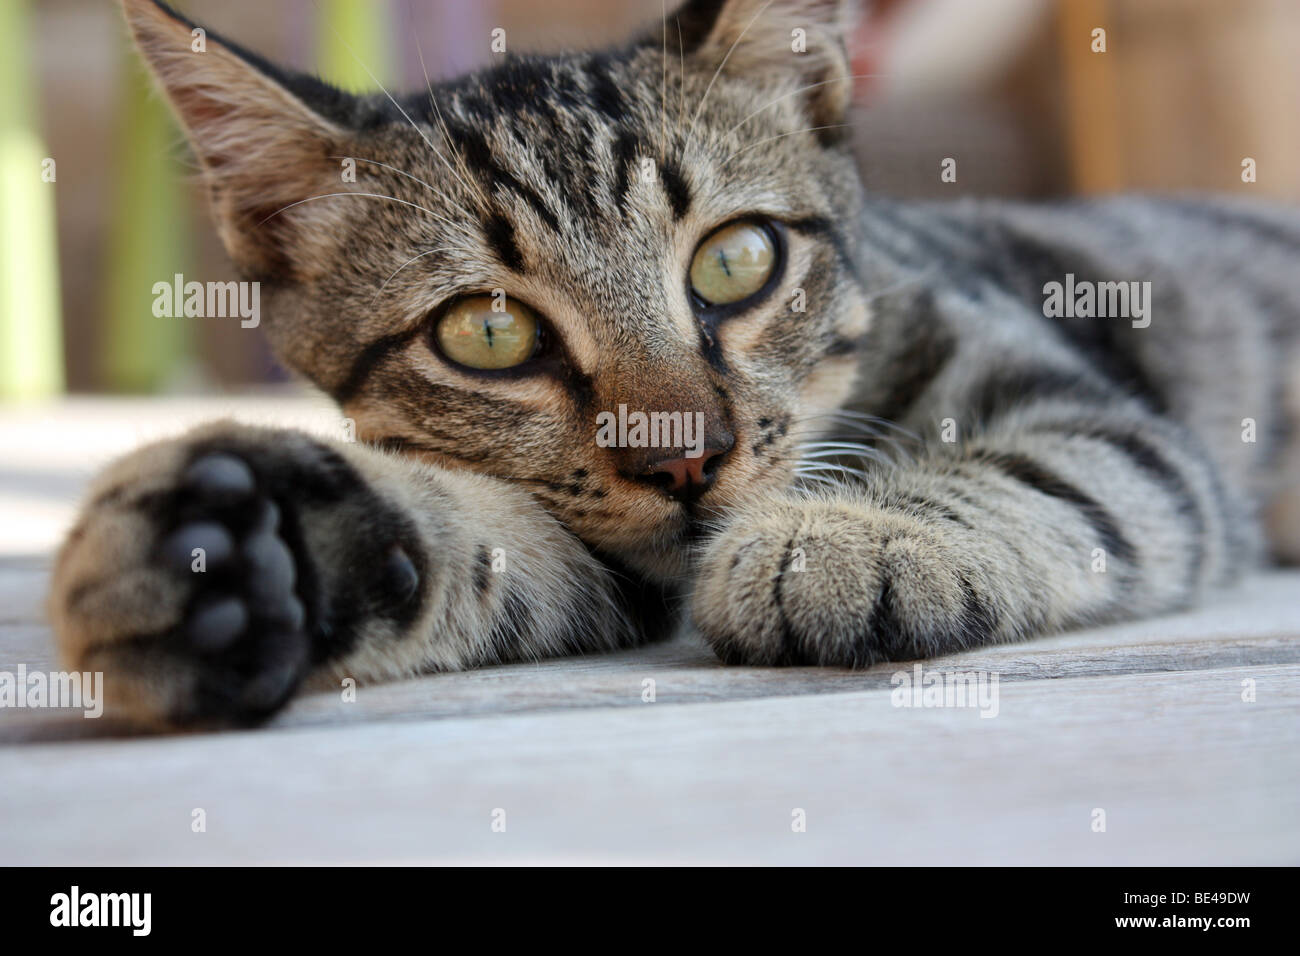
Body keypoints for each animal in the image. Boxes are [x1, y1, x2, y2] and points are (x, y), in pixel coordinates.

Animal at [45, 0, 1294, 728]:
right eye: (488, 333)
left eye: (736, 261)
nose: (688, 458)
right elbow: (483, 543)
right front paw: (248, 551)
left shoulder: (1101, 412)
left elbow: (1045, 468)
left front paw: (856, 536)